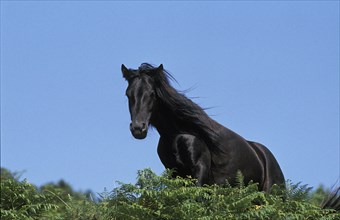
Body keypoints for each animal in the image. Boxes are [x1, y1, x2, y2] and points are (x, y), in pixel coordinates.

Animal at [121, 62, 284, 192]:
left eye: (152, 94)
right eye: (128, 94)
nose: (138, 128)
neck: (178, 134)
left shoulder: (200, 168)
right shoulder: (175, 175)